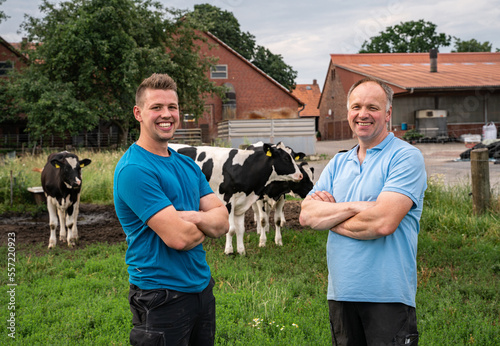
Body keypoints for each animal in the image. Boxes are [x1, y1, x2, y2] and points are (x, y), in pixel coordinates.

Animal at [168, 142, 302, 255]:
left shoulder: (241, 203)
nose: (300, 175)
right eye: (286, 158)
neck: (241, 167)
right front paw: (229, 251)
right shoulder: (227, 201)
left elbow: (240, 229)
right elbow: (231, 229)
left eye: (293, 157)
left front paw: (241, 251)